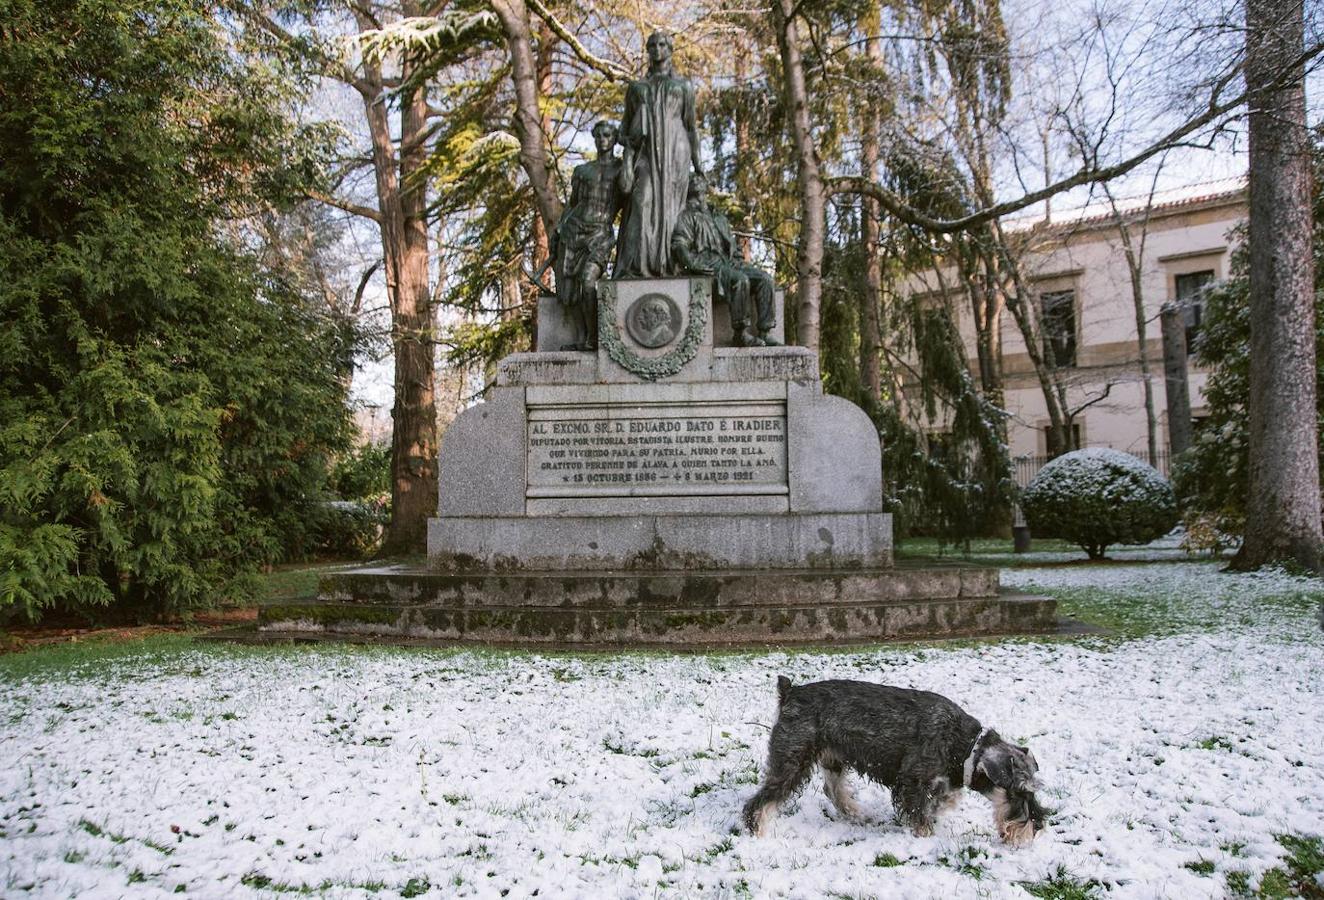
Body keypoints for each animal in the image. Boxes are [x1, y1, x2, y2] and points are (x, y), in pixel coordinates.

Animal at [746, 677, 1043, 847]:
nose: (1037, 825)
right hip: (793, 761)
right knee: (761, 800)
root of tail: (790, 692)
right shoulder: (912, 781)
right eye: (1019, 792)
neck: (965, 746)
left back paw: (857, 814)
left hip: (834, 756)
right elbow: (920, 814)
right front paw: (925, 837)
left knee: (833, 790)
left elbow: (941, 801)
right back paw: (758, 833)